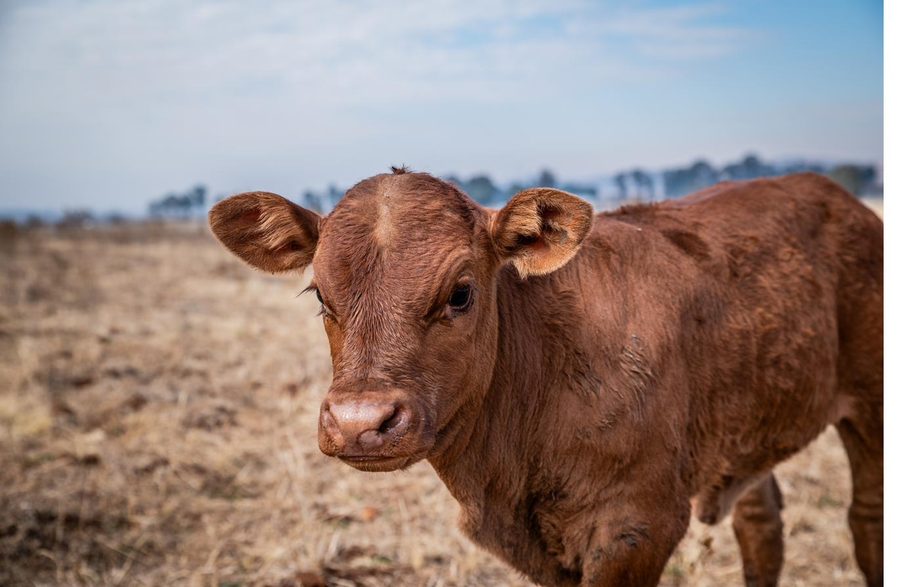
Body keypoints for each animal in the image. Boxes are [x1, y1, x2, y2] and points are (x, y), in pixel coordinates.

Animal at [209, 169, 883, 587]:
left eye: (460, 293)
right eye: (320, 295)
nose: (359, 422)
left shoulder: (638, 524)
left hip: (872, 404)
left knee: (867, 517)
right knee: (761, 522)